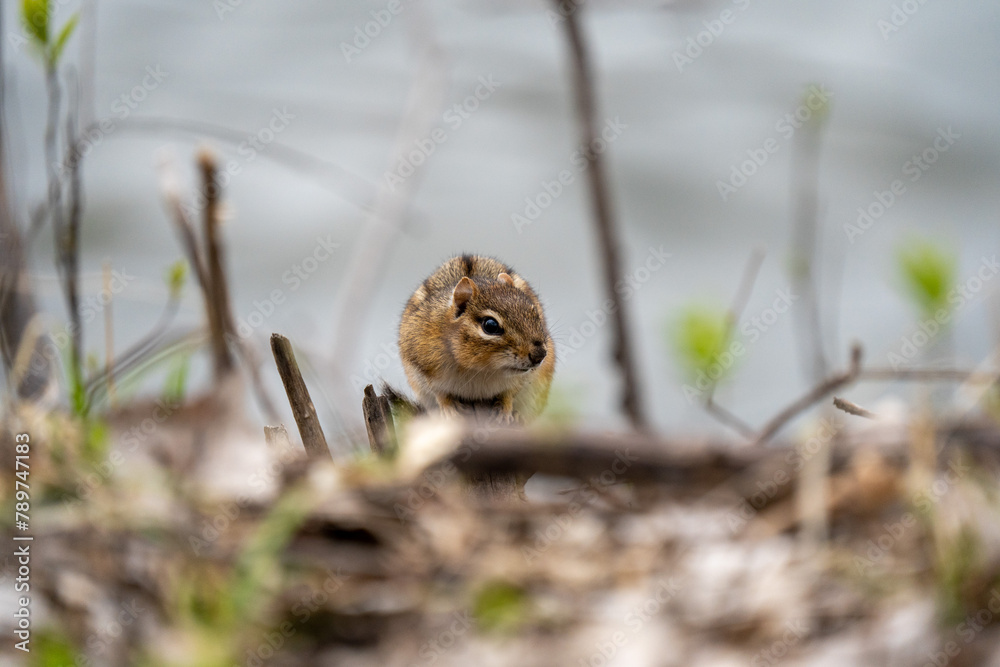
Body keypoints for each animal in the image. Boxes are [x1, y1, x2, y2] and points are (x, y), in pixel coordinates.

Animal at [398, 254, 555, 422]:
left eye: (535, 313)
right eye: (491, 325)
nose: (540, 355)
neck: (481, 368)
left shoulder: (523, 378)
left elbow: (509, 393)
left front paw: (505, 411)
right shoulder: (422, 366)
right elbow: (439, 393)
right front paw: (450, 409)